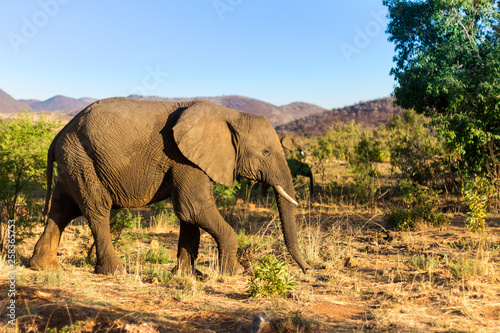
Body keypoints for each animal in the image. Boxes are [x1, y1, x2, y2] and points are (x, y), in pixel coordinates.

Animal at [29, 96, 310, 274]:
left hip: (73, 160)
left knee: (62, 209)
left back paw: (44, 267)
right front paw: (235, 273)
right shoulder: (183, 157)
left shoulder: (189, 159)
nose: (308, 270)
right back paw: (115, 271)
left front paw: (186, 275)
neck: (228, 114)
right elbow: (194, 208)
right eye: (265, 152)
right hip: (82, 159)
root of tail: (58, 134)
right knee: (97, 210)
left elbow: (189, 215)